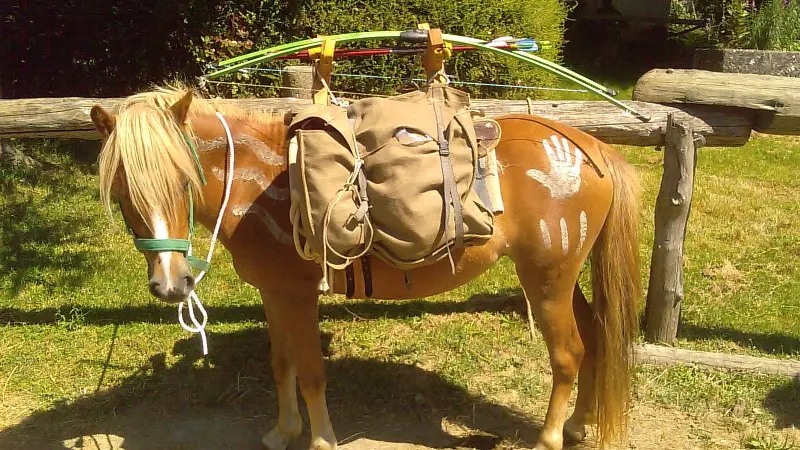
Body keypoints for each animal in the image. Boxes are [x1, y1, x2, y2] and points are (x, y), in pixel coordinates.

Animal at [90, 88, 640, 450]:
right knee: (596, 340)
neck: (258, 180)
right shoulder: (274, 294)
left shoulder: (298, 296)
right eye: (119, 191)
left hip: (546, 280)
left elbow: (312, 373)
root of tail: (590, 148)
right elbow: (282, 364)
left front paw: (319, 441)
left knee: (568, 354)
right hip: (563, 279)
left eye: (183, 179)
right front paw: (282, 432)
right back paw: (579, 425)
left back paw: (550, 437)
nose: (170, 284)